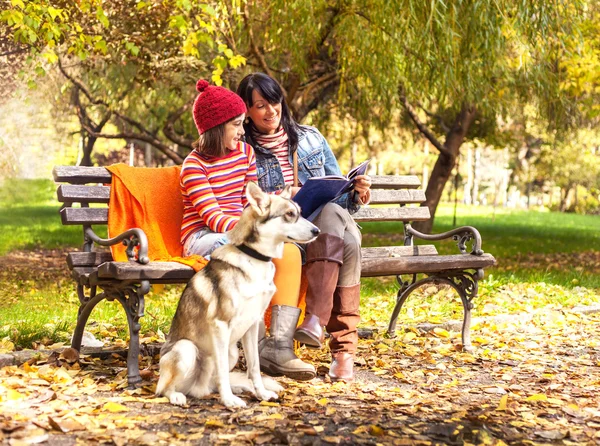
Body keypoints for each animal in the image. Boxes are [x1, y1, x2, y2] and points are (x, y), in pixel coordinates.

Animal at [157, 181, 322, 408]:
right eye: (289, 214)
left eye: (300, 212)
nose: (318, 231)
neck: (254, 258)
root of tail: (195, 388)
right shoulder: (220, 325)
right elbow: (223, 373)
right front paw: (228, 401)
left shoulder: (252, 325)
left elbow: (254, 367)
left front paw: (261, 394)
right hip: (186, 348)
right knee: (165, 388)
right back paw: (177, 396)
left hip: (232, 352)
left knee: (211, 384)